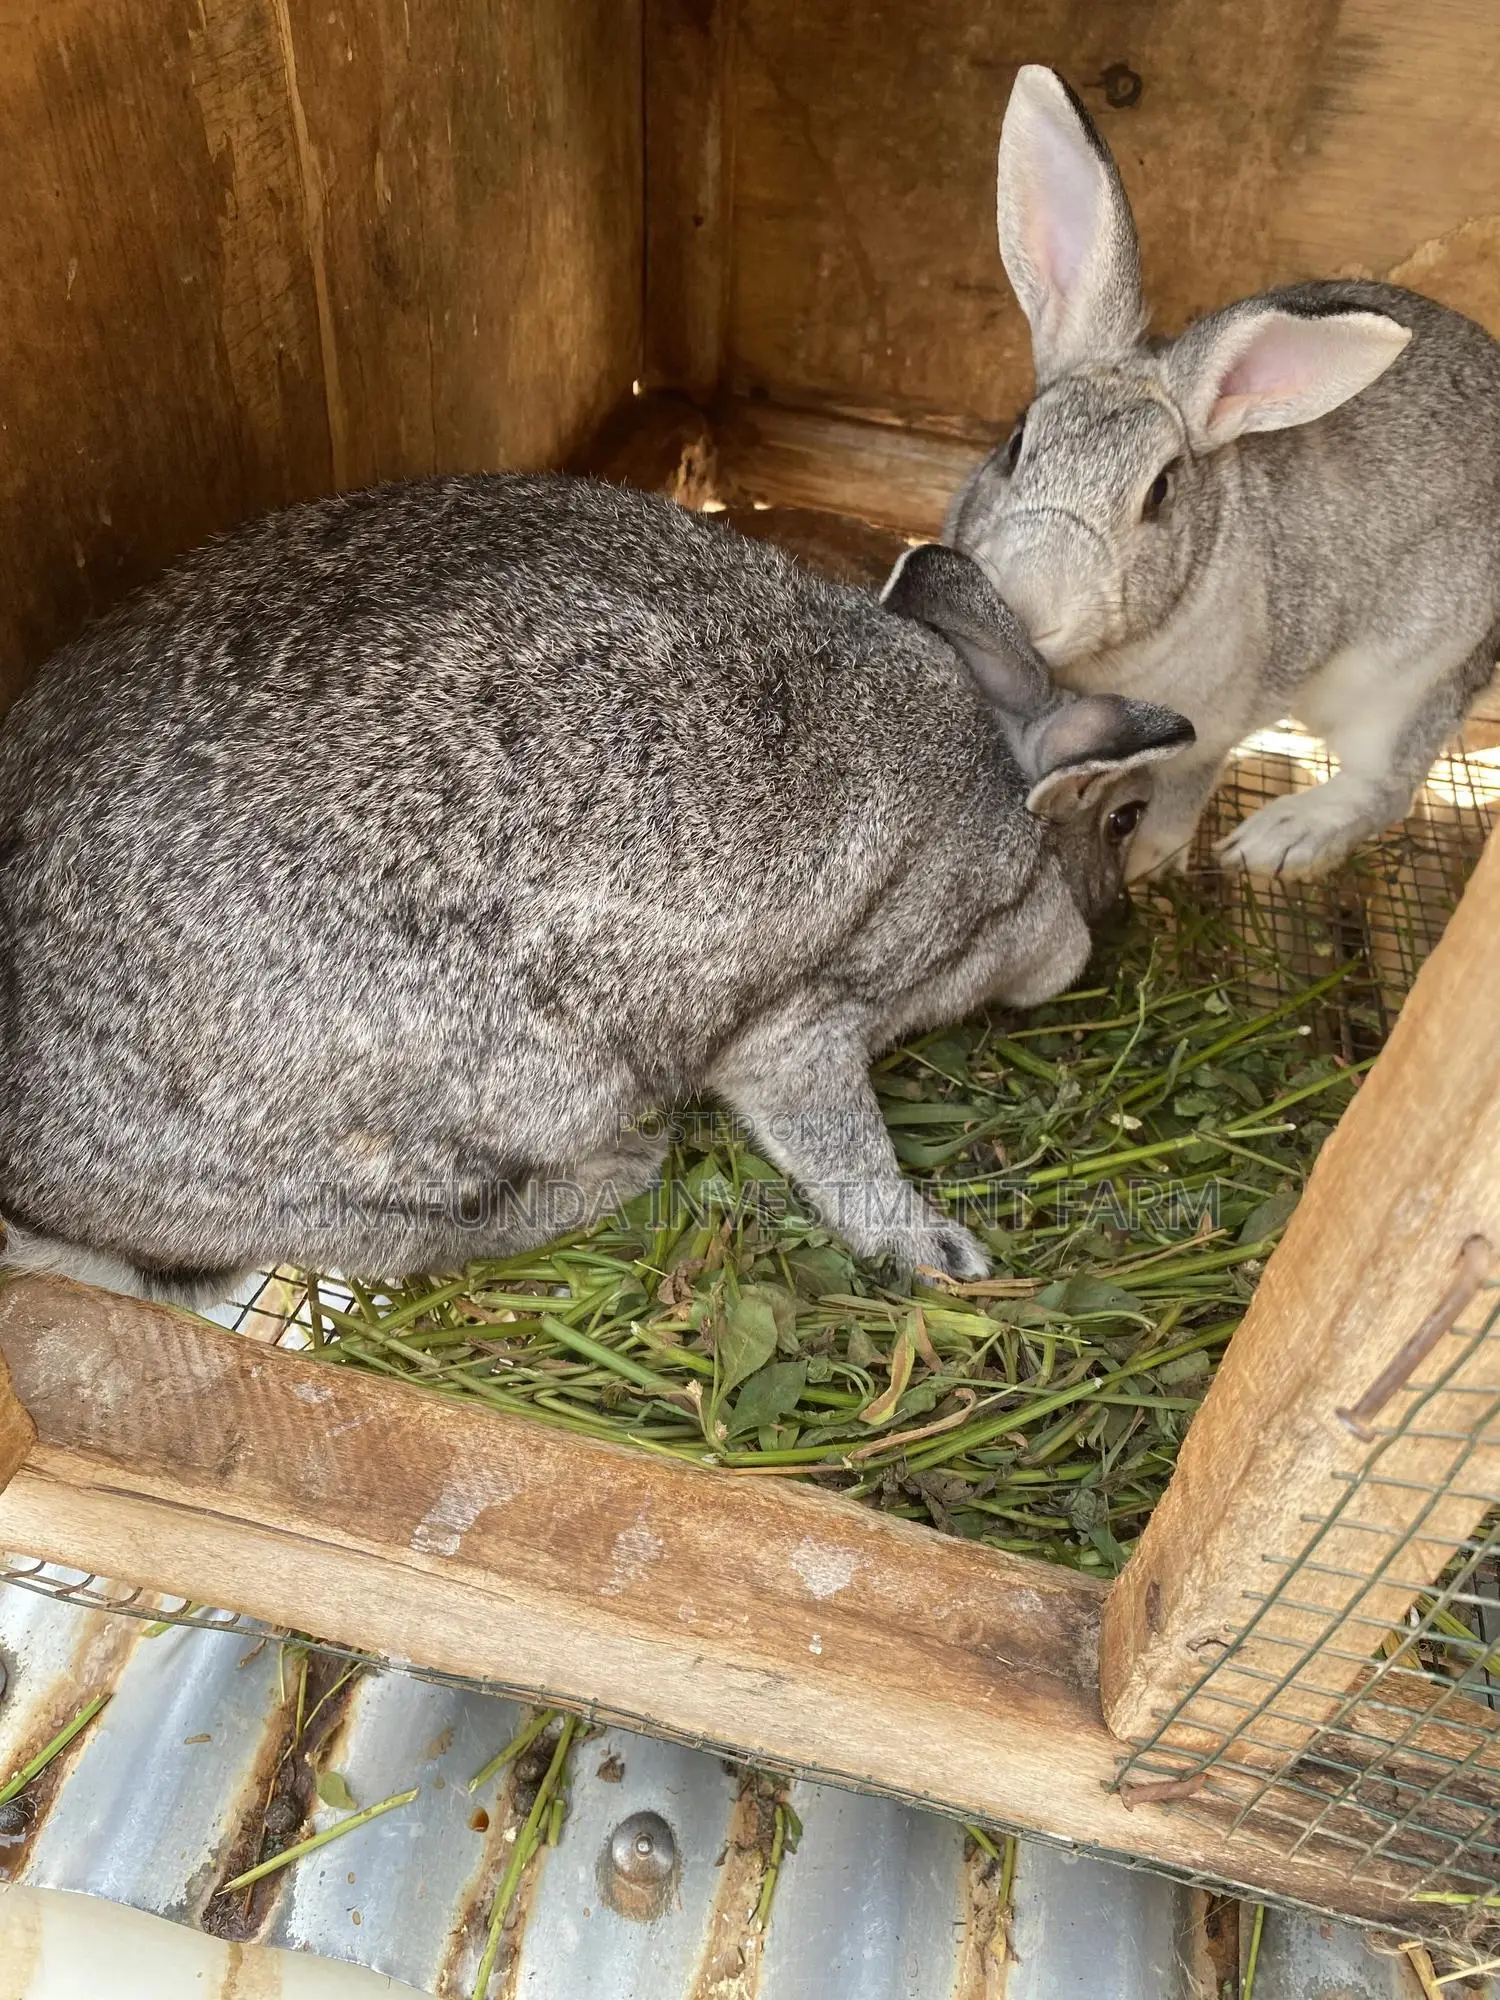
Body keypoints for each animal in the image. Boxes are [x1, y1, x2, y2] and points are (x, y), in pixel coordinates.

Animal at [0, 474, 1194, 1307]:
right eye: (1123, 818)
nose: (1112, 924)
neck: (996, 784)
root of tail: (46, 1192)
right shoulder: (807, 1021)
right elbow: (833, 1138)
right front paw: (938, 1249)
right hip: (479, 1104)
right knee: (406, 1237)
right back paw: (621, 1168)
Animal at [945, 64, 1500, 880]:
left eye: (1160, 493)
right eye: (1017, 443)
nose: (1023, 599)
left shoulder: (1206, 734)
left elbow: (1179, 800)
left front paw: (1147, 863)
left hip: (1407, 679)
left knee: (1385, 784)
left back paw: (1278, 838)